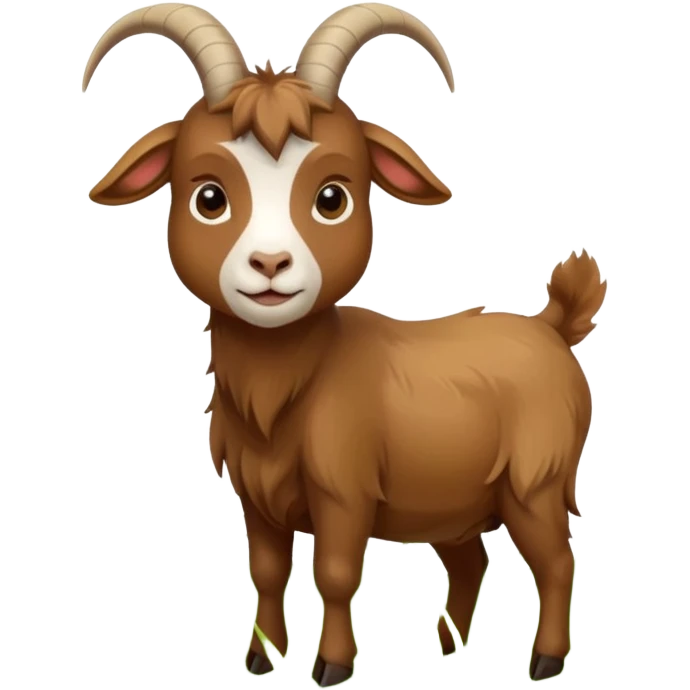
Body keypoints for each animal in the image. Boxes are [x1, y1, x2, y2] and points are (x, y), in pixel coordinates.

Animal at [81, 2, 605, 686]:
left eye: (332, 197)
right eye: (208, 197)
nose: (269, 264)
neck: (291, 385)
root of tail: (552, 324)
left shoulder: (343, 492)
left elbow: (333, 574)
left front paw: (330, 666)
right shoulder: (257, 498)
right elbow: (268, 571)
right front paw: (261, 657)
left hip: (534, 482)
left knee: (556, 562)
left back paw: (544, 660)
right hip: (453, 500)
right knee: (470, 561)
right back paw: (448, 642)